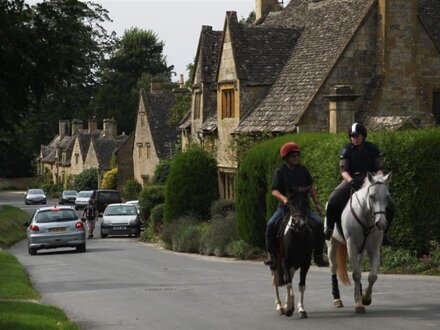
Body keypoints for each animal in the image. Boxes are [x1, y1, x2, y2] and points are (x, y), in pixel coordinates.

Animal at [326, 171, 392, 314]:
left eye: (387, 196)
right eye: (372, 196)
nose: (381, 223)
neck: (366, 216)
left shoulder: (374, 250)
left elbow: (372, 276)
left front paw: (365, 298)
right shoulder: (352, 247)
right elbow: (356, 275)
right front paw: (359, 304)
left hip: (361, 252)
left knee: (360, 266)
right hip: (332, 245)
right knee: (334, 268)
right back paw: (337, 299)